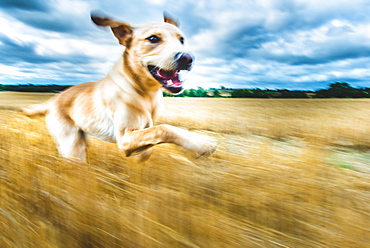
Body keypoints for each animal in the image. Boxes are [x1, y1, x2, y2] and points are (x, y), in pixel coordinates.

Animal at [21, 13, 217, 163]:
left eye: (182, 39)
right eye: (153, 38)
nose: (187, 58)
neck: (145, 93)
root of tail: (53, 100)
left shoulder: (140, 134)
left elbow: (150, 141)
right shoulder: (124, 139)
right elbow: (164, 128)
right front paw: (201, 143)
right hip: (72, 146)